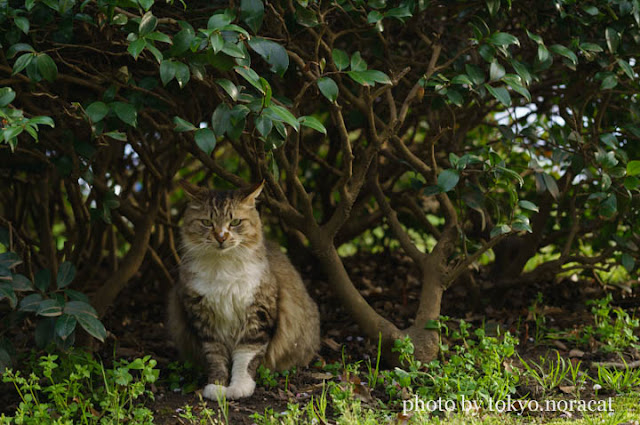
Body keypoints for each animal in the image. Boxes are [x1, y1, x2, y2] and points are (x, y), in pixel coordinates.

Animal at [165, 181, 320, 400]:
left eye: (235, 222)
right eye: (207, 222)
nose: (221, 237)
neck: (223, 269)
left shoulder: (257, 316)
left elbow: (245, 358)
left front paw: (239, 387)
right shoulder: (205, 323)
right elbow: (216, 358)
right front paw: (217, 387)